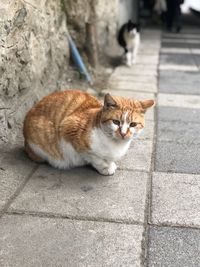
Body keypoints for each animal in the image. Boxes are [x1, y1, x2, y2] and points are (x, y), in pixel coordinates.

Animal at [23, 91, 155, 177]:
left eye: (133, 124)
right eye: (116, 122)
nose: (123, 133)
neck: (115, 144)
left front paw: (110, 163)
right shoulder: (68, 128)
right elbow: (93, 157)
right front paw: (105, 167)